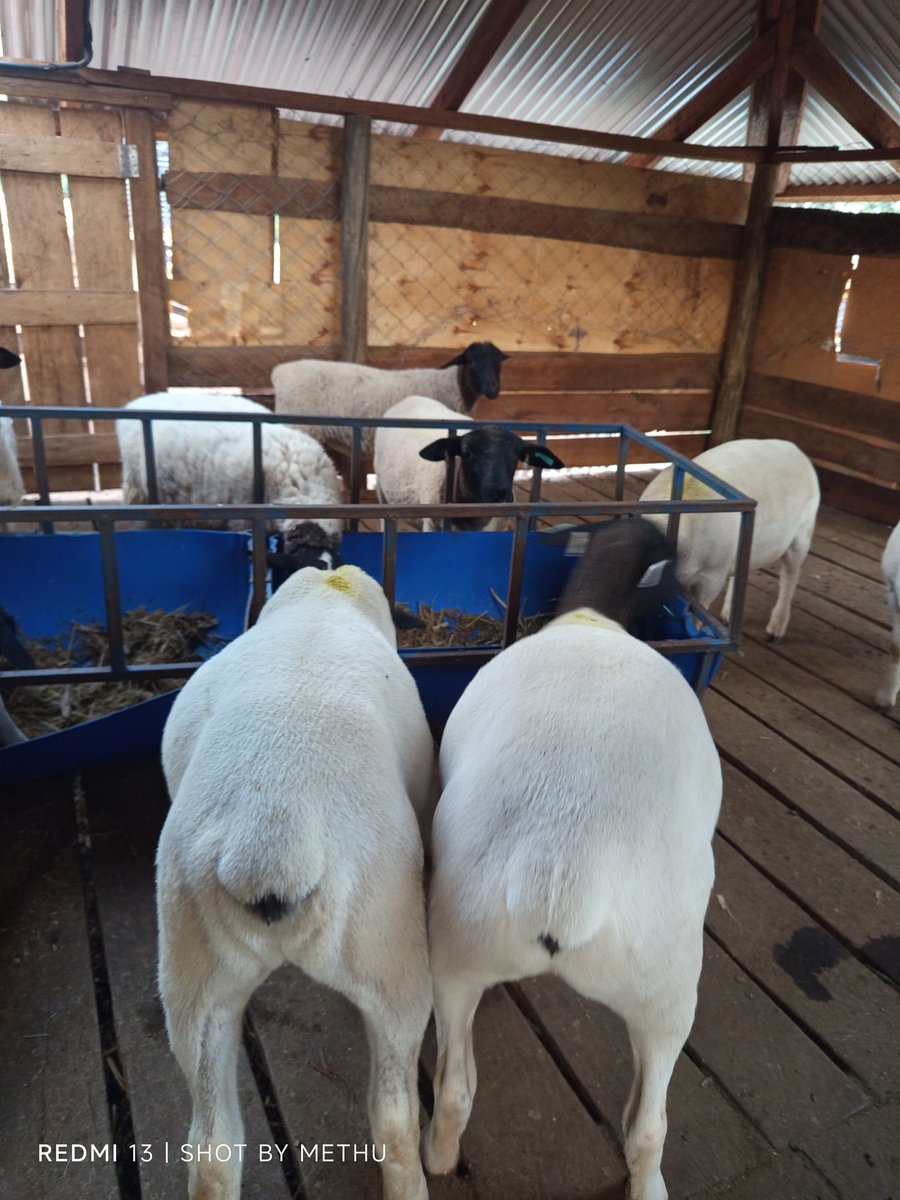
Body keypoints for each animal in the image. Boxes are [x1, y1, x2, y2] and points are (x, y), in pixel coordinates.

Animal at [156, 564, 435, 1200]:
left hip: (193, 980)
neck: (324, 603)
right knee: (393, 1116)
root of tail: (269, 843)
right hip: (387, 953)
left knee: (211, 1146)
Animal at [272, 341, 509, 463]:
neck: (451, 385)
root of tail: (279, 373)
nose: (493, 390)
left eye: (498, 362)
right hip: (299, 425)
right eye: (472, 361)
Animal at [373, 395, 564, 531]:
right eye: (466, 453)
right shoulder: (432, 524)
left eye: (517, 456)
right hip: (382, 493)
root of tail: (411, 398)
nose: (500, 494)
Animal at [424, 520, 722, 1200]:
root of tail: (564, 872)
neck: (591, 620)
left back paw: (439, 1154)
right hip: (669, 988)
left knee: (454, 1089)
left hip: (461, 958)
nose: (687, 604)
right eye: (668, 571)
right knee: (648, 1126)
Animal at [640, 438, 819, 642]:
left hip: (803, 532)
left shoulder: (712, 576)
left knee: (790, 575)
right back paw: (728, 615)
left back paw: (775, 630)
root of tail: (793, 447)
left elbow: (699, 615)